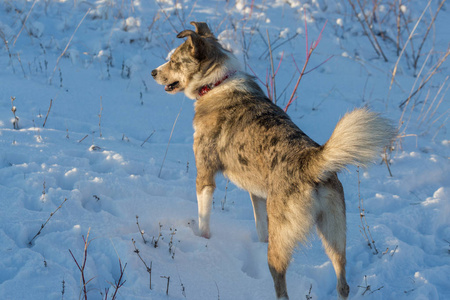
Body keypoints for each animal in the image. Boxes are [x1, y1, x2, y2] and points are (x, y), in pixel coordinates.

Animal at [151, 21, 394, 300]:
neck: (216, 83)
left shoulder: (205, 175)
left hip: (285, 236)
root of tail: (312, 162)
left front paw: (202, 240)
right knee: (342, 283)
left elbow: (204, 219)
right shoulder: (257, 193)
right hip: (334, 232)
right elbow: (260, 228)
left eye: (174, 61)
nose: (152, 72)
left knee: (281, 285)